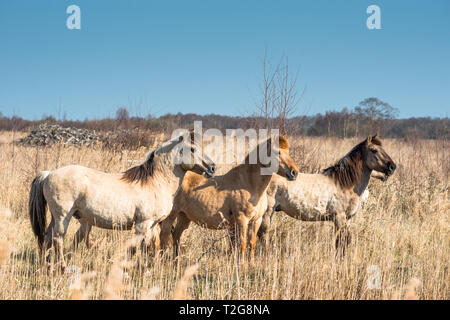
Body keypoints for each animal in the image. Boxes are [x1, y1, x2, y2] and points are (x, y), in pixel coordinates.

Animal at [28, 131, 216, 270]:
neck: (155, 181)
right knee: (58, 239)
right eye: (192, 149)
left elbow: (150, 246)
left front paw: (148, 268)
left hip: (55, 217)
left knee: (47, 237)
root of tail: (48, 174)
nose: (213, 167)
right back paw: (62, 267)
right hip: (63, 216)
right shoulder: (142, 224)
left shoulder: (152, 225)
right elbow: (135, 248)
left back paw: (47, 266)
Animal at [158, 134, 298, 258]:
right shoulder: (242, 220)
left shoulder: (256, 221)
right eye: (277, 152)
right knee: (164, 239)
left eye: (288, 151)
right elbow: (242, 245)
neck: (250, 185)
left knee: (176, 236)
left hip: (184, 217)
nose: (294, 172)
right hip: (170, 217)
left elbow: (251, 245)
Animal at [258, 135, 396, 255]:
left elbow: (344, 241)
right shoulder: (339, 217)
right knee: (263, 234)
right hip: (267, 212)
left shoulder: (347, 219)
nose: (392, 167)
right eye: (374, 150)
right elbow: (341, 242)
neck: (344, 183)